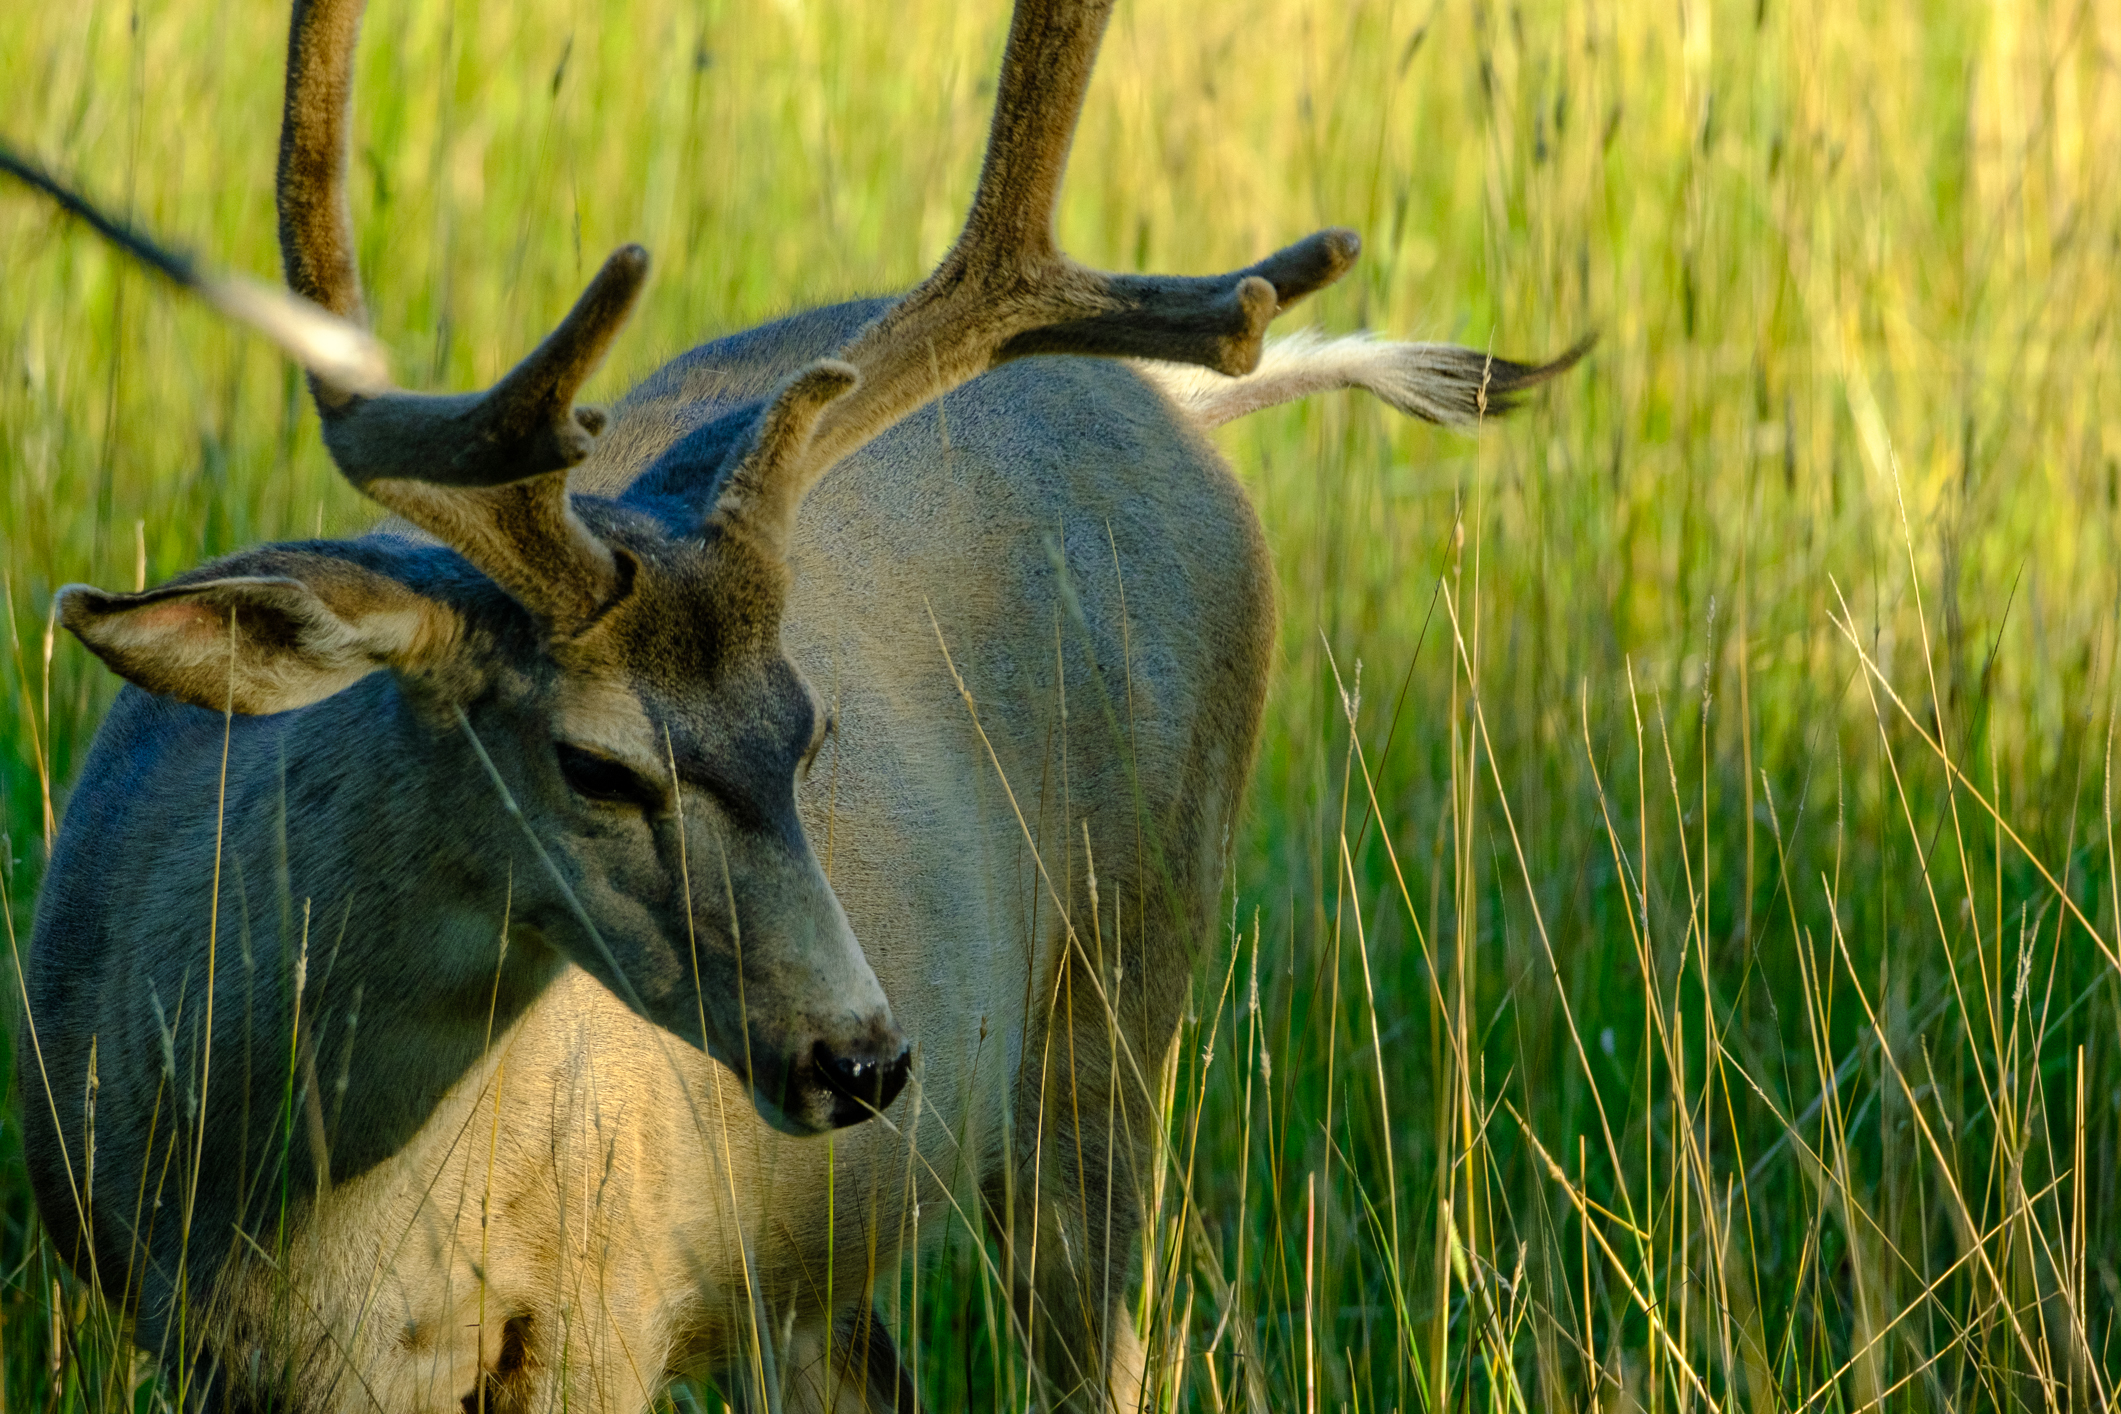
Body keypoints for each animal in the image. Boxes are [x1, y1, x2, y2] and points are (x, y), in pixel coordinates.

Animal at [4, 0, 1580, 1408]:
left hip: (1121, 984)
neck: (296, 1228)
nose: (864, 1054)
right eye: (593, 764)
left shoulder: (604, 1299)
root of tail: (1169, 403)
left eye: (810, 730)